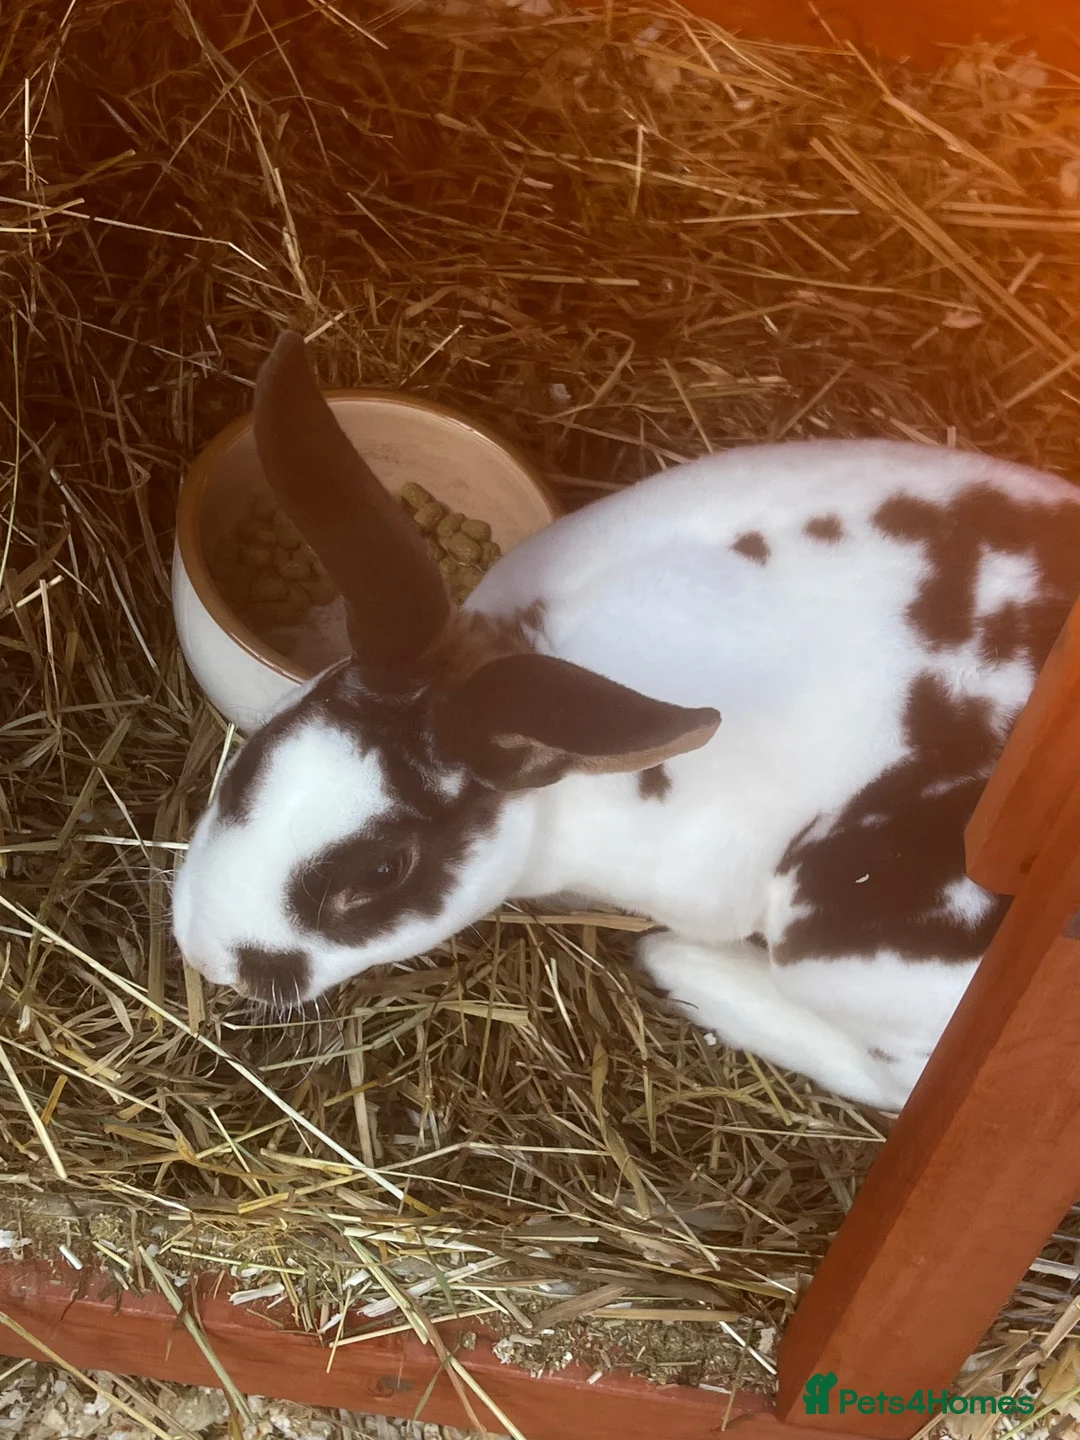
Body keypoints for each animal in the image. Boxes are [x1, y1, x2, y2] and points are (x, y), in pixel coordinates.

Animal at [172, 330, 1080, 1111]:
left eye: (387, 870)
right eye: (254, 754)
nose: (207, 955)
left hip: (843, 937)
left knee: (895, 1077)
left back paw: (686, 968)